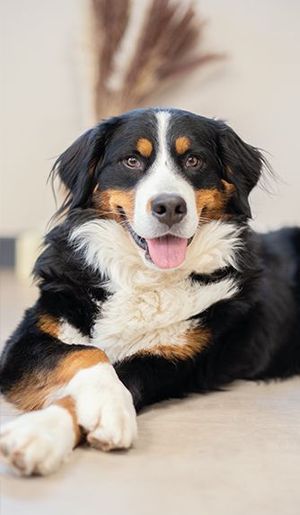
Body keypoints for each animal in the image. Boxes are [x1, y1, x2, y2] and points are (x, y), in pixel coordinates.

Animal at [0, 108, 300, 476]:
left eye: (194, 160)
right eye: (132, 161)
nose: (169, 206)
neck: (147, 278)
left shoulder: (167, 361)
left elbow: (99, 382)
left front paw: (42, 432)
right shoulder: (26, 342)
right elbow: (88, 353)